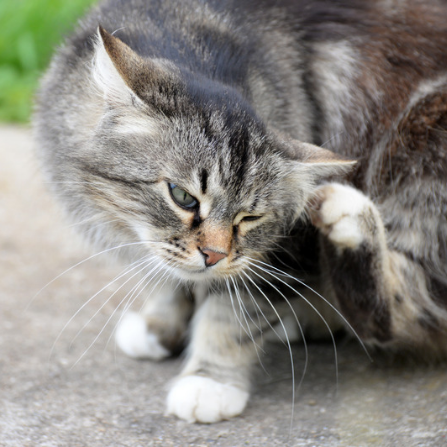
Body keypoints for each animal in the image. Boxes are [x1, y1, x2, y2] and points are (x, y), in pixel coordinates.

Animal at [33, 0, 447, 424]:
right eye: (182, 196)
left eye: (248, 218)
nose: (214, 256)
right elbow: (164, 280)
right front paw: (159, 326)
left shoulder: (282, 251)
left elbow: (232, 316)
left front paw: (209, 382)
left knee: (407, 312)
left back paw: (346, 218)